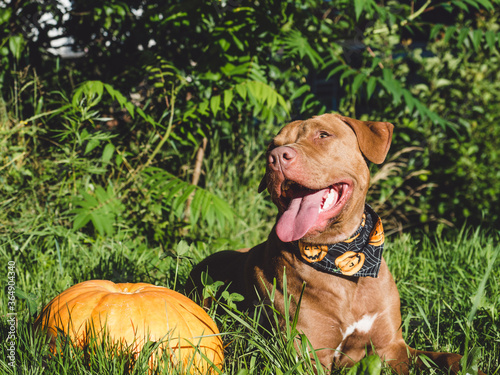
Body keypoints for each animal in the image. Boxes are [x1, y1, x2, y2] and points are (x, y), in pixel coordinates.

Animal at [187, 114, 480, 375]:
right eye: (272, 146)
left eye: (323, 135)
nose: (277, 156)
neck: (341, 256)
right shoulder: (308, 356)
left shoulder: (391, 347)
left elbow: (445, 357)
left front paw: (467, 364)